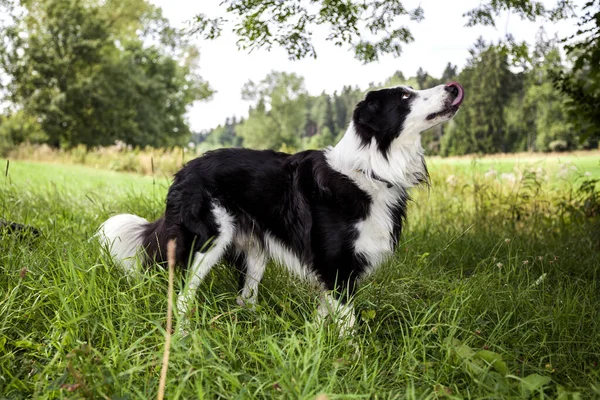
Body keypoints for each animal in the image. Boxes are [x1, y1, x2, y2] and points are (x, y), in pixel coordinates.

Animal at [97, 80, 464, 332]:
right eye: (405, 97)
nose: (452, 87)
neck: (371, 169)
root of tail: (184, 169)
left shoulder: (331, 272)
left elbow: (325, 314)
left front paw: (316, 344)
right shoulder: (337, 266)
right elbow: (347, 323)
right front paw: (350, 361)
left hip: (255, 249)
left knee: (244, 297)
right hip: (210, 238)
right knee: (184, 293)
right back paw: (185, 334)